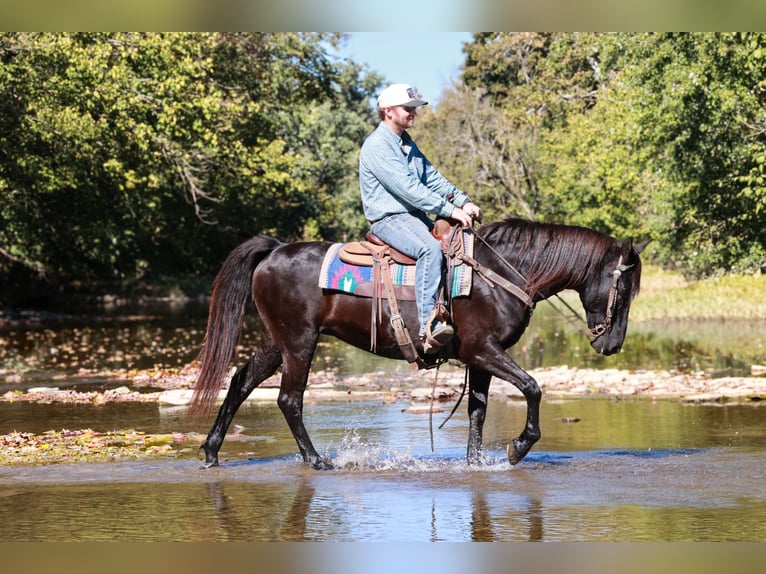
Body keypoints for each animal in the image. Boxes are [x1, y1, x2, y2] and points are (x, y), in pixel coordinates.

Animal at [191, 218, 647, 469]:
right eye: (623, 290)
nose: (612, 345)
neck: (501, 273)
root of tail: (275, 250)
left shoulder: (479, 359)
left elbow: (478, 411)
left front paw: (476, 462)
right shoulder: (483, 350)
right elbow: (533, 387)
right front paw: (518, 448)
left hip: (276, 342)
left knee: (240, 383)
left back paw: (211, 451)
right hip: (300, 343)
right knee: (289, 399)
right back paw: (316, 460)